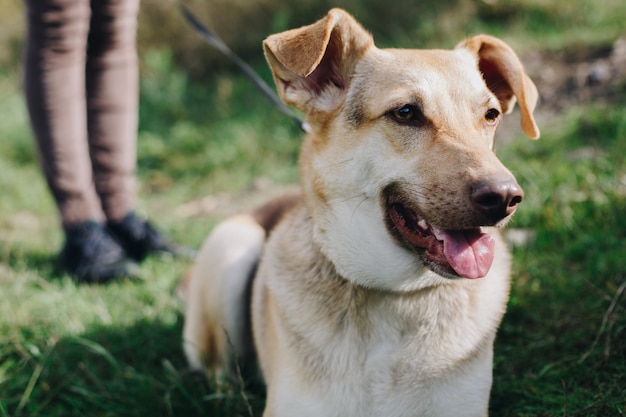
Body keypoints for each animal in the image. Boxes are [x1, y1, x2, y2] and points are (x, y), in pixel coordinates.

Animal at [179, 8, 536, 414]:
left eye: (490, 115)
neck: (393, 295)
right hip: (233, 245)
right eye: (406, 112)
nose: (506, 197)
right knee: (220, 373)